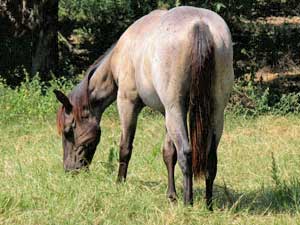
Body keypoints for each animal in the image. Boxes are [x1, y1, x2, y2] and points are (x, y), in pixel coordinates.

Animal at [55, 6, 236, 208]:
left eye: (68, 131)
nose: (70, 169)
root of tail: (199, 24)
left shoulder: (128, 103)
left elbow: (125, 147)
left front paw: (120, 182)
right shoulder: (166, 114)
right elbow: (168, 153)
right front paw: (171, 195)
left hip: (176, 110)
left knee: (186, 152)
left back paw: (188, 202)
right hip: (214, 112)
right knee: (210, 158)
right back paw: (208, 204)